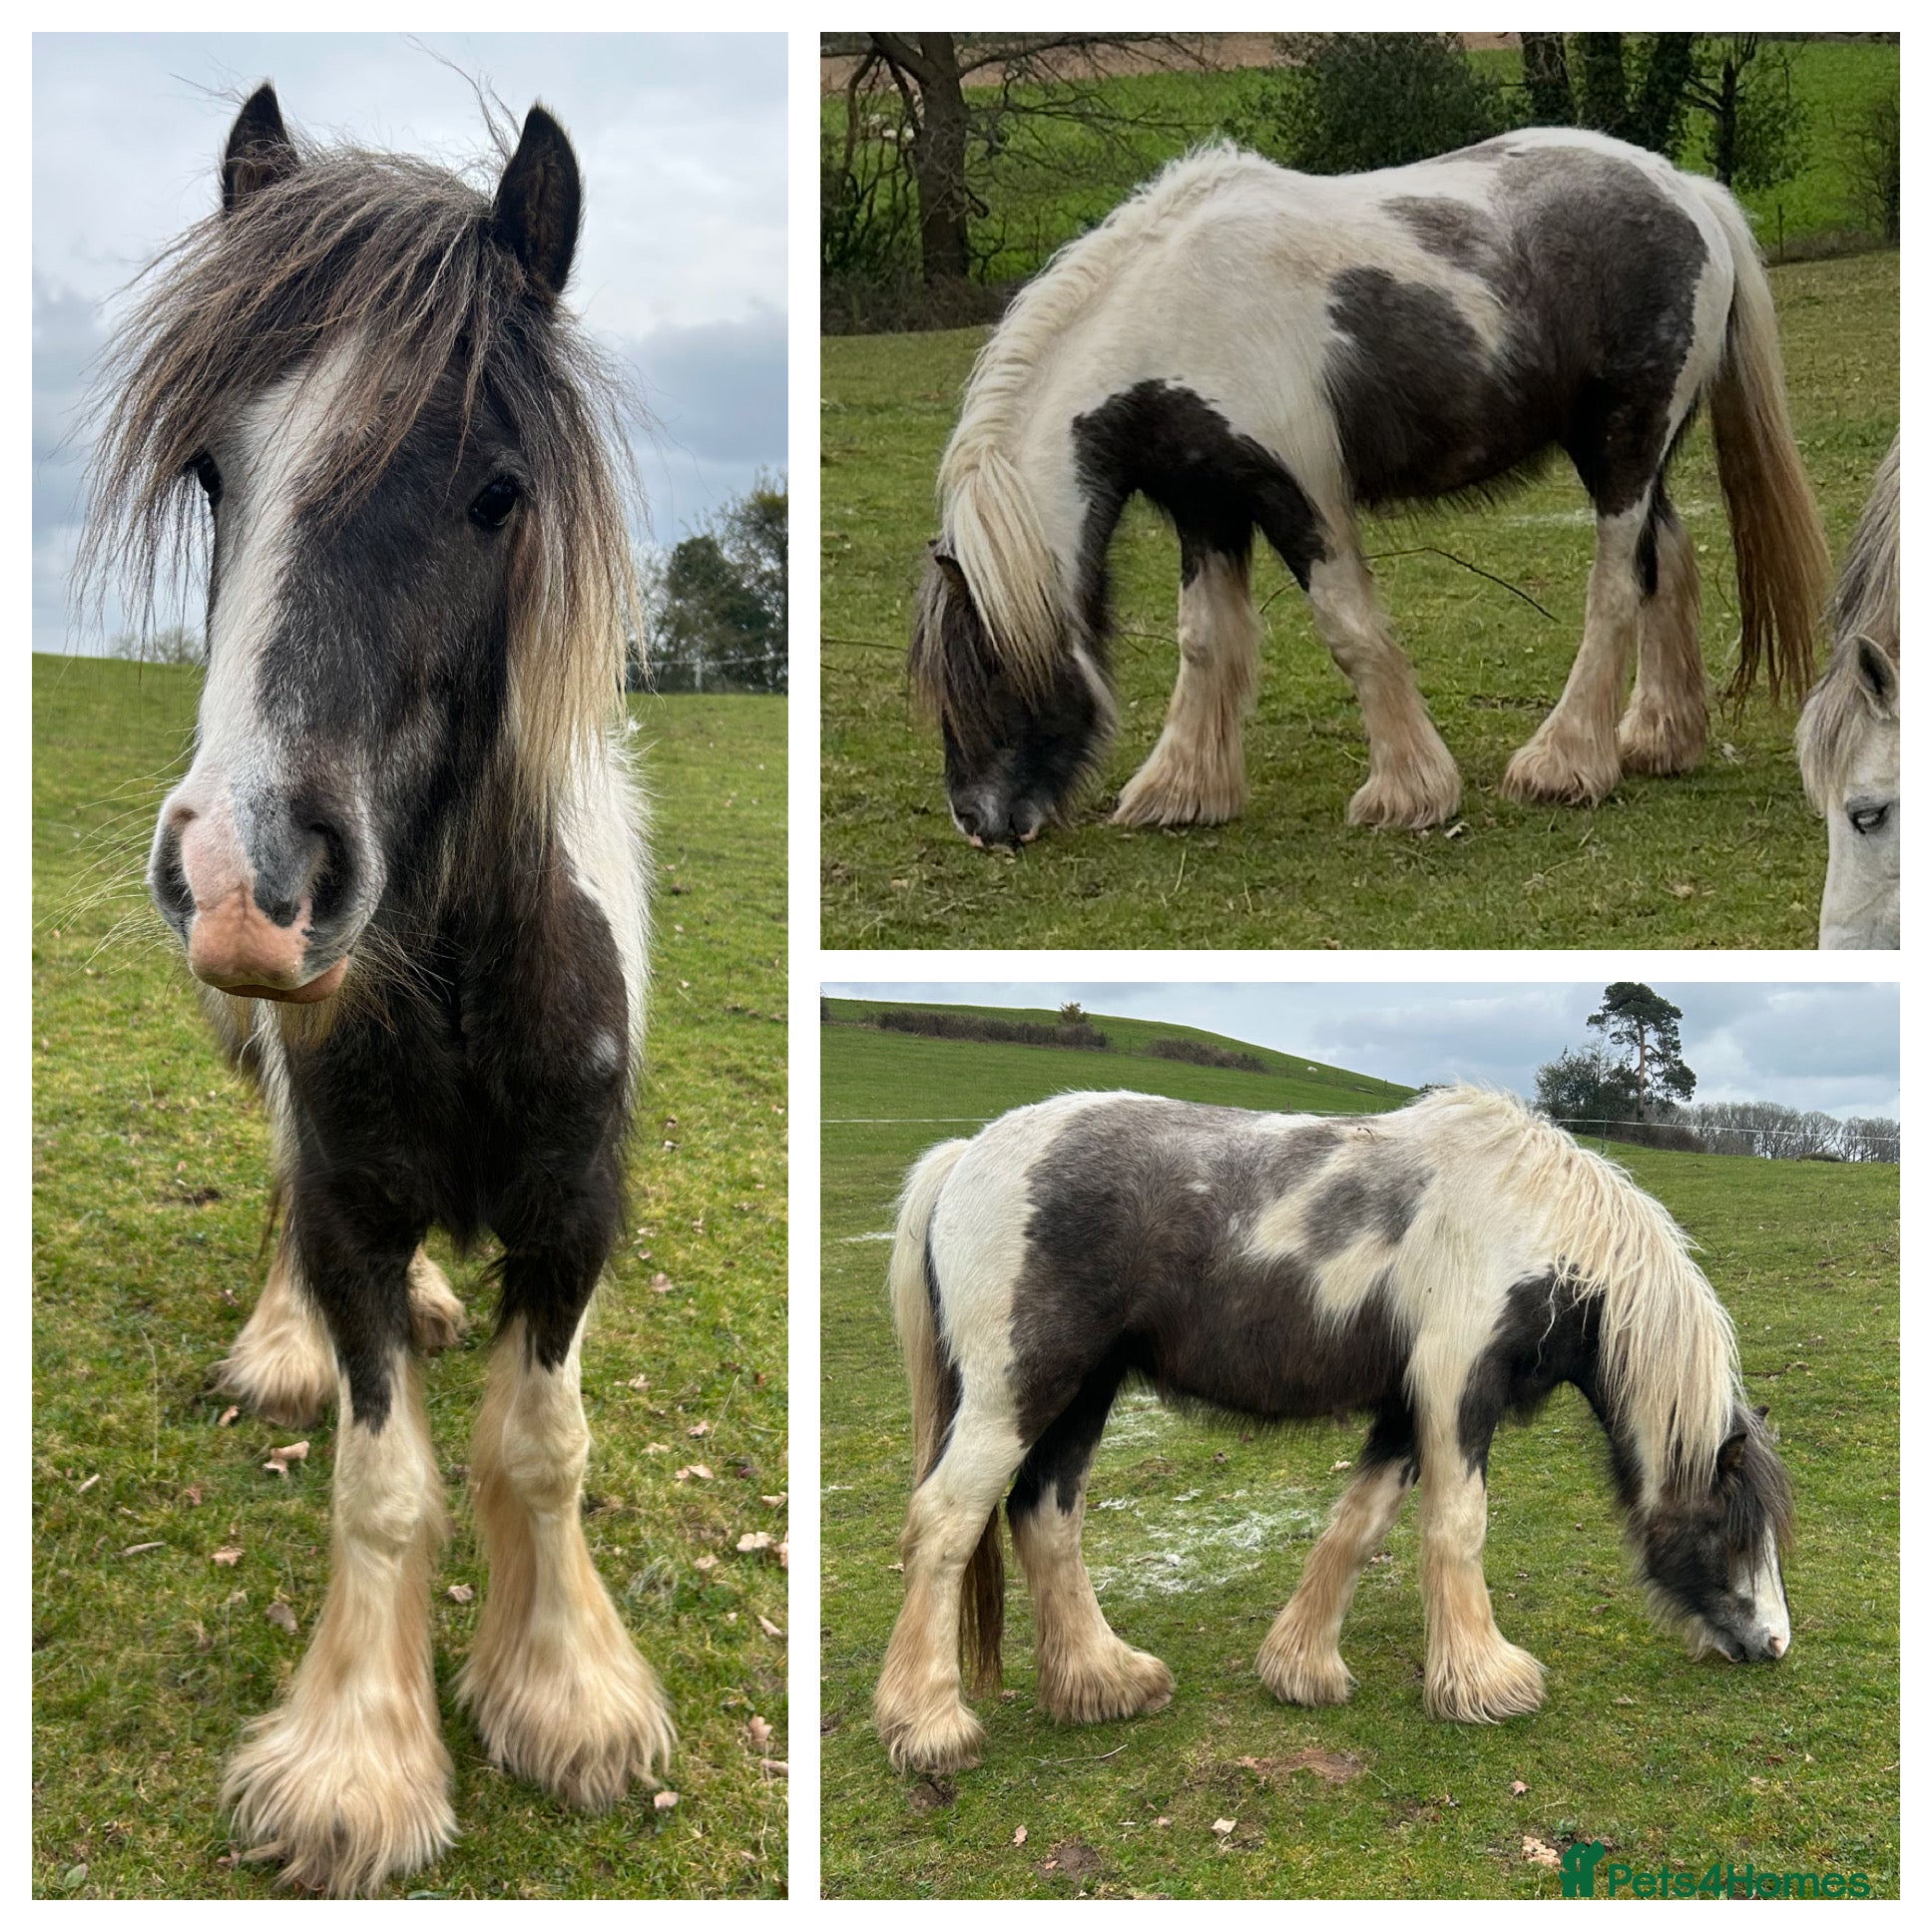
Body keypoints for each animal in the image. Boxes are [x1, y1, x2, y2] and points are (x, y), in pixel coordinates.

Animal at [78, 86, 668, 1893]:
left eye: (494, 490)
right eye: (218, 470)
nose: (243, 878)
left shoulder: (574, 1216)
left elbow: (542, 1444)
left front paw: (567, 1694)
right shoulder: (346, 1193)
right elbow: (382, 1477)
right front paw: (358, 1764)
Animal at [874, 1086, 1792, 1774]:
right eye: (1732, 1525)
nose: (1775, 1643)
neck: (1532, 1225)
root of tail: (966, 1158)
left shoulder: (1408, 1405)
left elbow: (1360, 1523)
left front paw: (1301, 1668)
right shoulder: (1457, 1386)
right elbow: (1458, 1526)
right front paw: (1486, 1683)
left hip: (1084, 1392)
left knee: (1043, 1515)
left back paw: (1105, 1682)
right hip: (1017, 1391)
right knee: (946, 1522)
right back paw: (930, 1726)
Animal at [908, 131, 1829, 849]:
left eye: (988, 669)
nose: (979, 822)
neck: (1179, 316)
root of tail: (1686, 190)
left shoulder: (1300, 494)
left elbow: (1347, 628)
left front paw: (1408, 792)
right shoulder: (1206, 505)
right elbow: (1203, 639)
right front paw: (1182, 790)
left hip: (1622, 447)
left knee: (1614, 591)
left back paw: (1564, 764)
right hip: (1632, 454)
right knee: (1664, 562)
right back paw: (1657, 742)